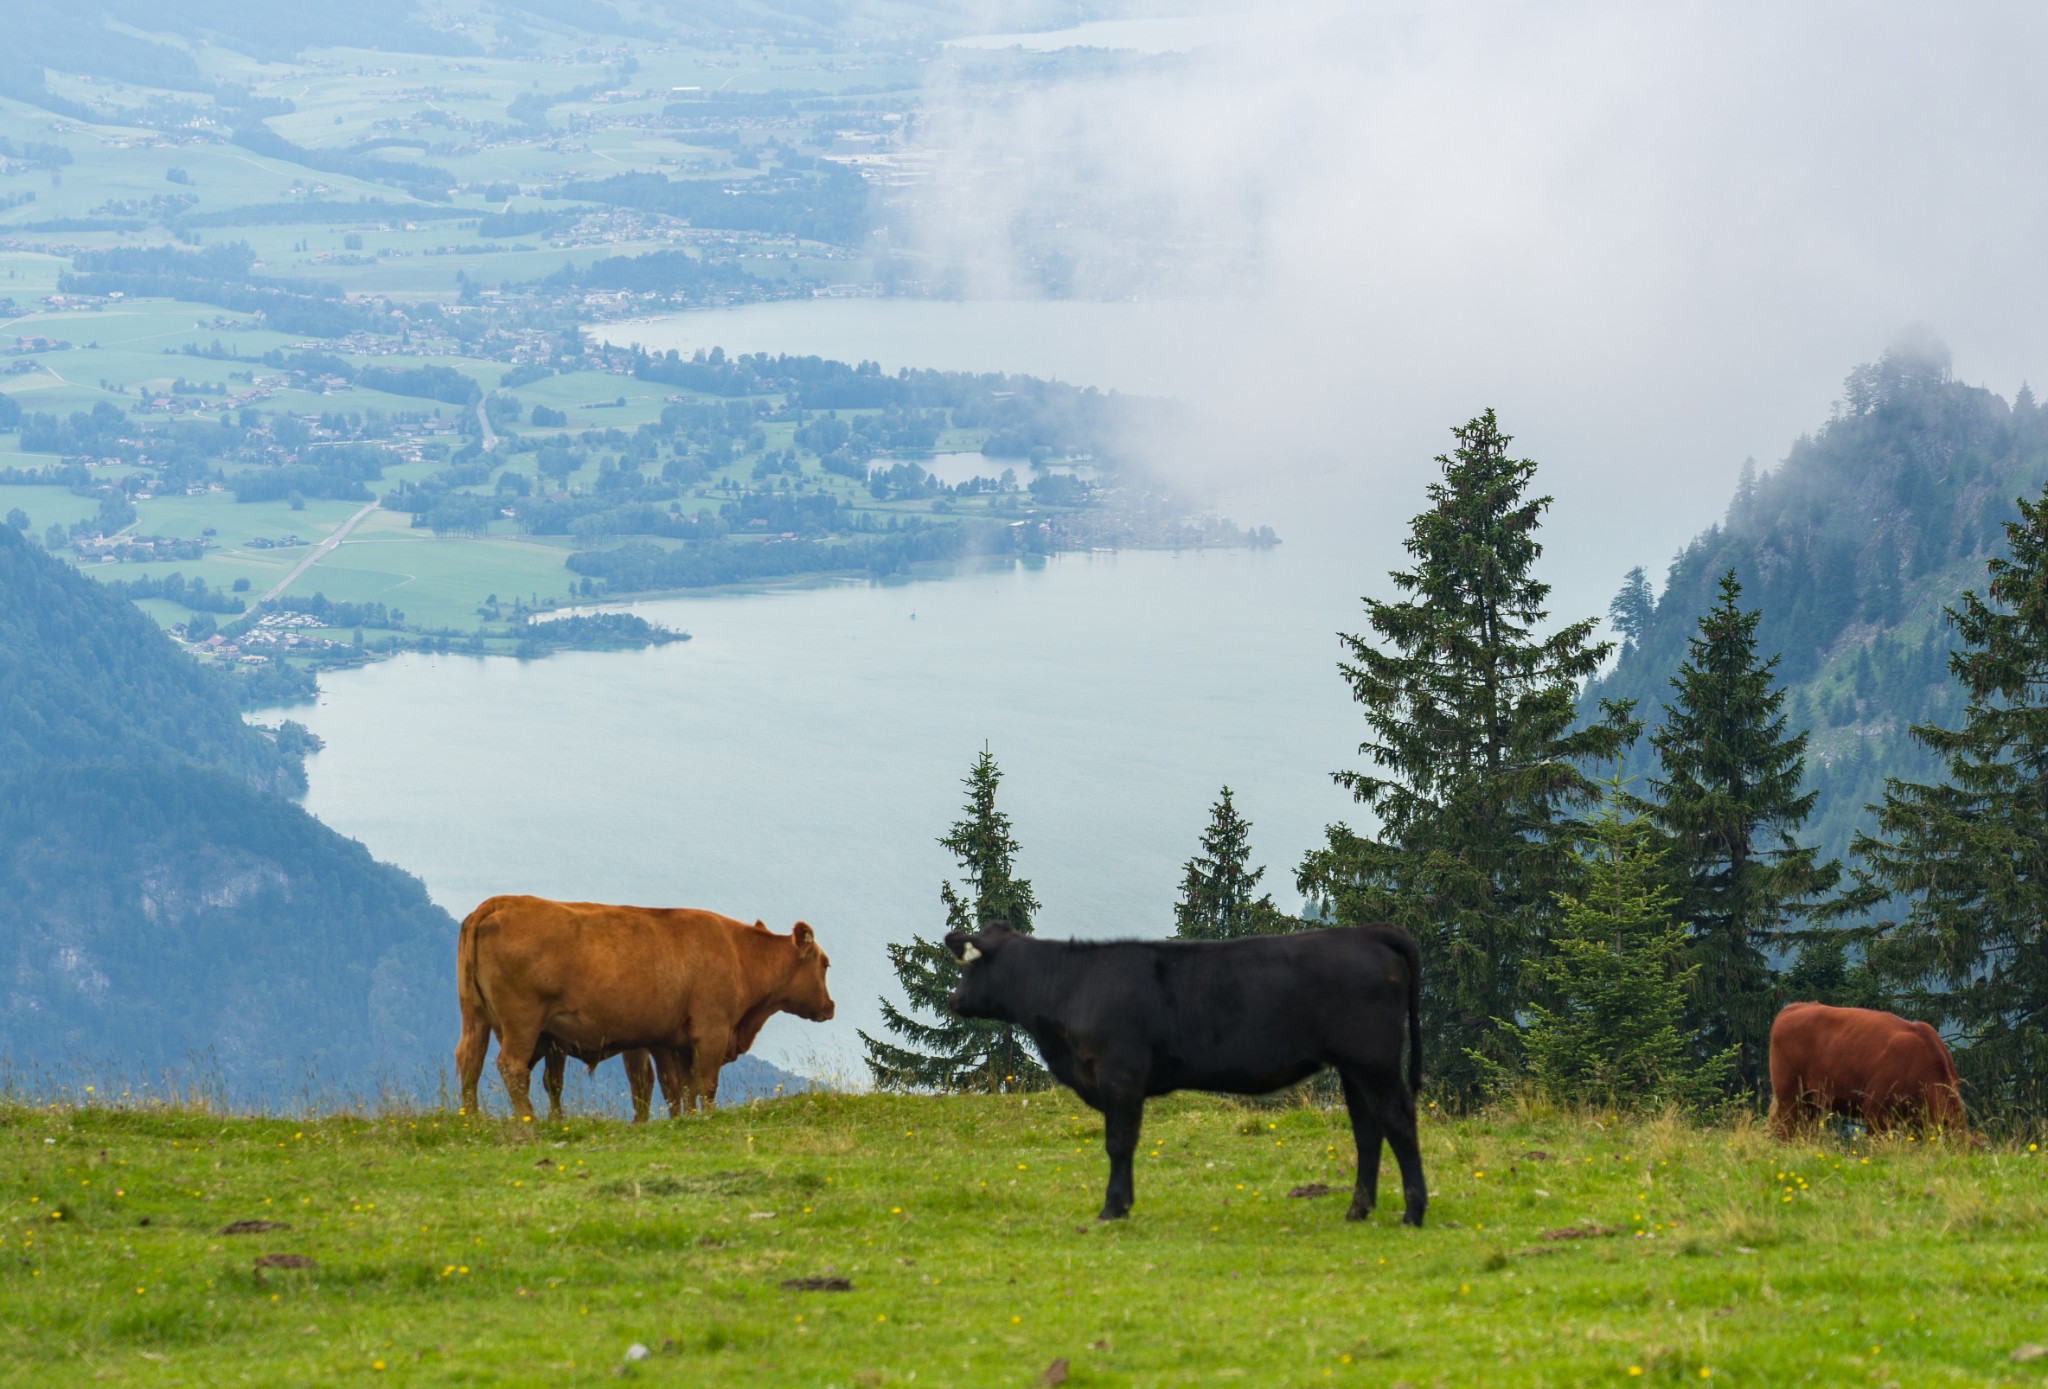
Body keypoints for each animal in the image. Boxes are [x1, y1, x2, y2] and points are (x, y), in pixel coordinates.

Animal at [456, 897, 831, 1122]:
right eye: (825, 963)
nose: (830, 1006)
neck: (739, 953)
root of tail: (500, 903)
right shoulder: (710, 1032)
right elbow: (704, 1084)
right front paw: (707, 1118)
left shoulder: (671, 1042)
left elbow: (677, 1087)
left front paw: (685, 1119)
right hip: (522, 1024)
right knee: (511, 1066)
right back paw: (529, 1121)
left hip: (476, 1018)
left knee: (469, 1060)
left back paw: (473, 1119)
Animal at [942, 930, 1425, 1221]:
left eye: (970, 964)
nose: (954, 999)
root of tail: (1365, 932)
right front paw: (1124, 1204)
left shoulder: (1119, 1075)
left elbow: (1118, 1143)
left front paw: (1113, 1208)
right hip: (1355, 1069)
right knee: (1368, 1132)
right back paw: (1358, 1210)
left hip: (1373, 1061)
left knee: (1398, 1124)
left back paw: (1413, 1213)